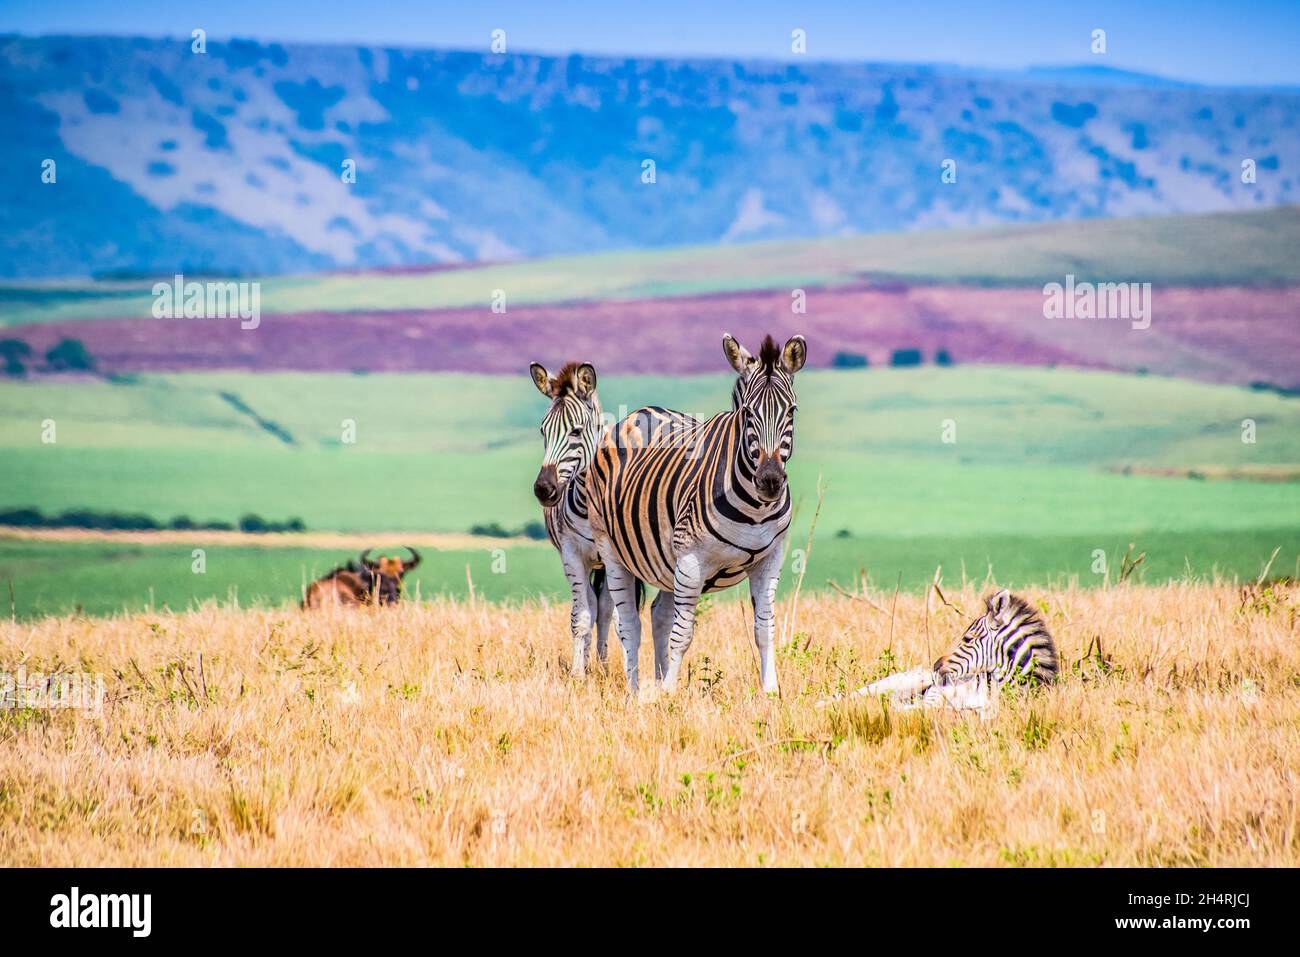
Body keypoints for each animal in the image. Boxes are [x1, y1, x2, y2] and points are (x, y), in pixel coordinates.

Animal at [529, 361, 680, 677]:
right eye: (543, 431)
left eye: (576, 431)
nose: (544, 489)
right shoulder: (572, 555)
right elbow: (582, 616)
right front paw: (578, 674)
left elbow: (620, 618)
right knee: (600, 607)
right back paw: (597, 663)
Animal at [586, 333, 806, 693]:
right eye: (748, 413)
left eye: (791, 410)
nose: (771, 481)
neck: (754, 509)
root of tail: (637, 414)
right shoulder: (690, 560)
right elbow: (683, 634)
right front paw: (669, 694)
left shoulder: (769, 560)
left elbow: (765, 629)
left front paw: (771, 692)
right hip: (612, 550)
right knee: (629, 624)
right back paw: (636, 691)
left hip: (663, 561)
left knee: (659, 614)